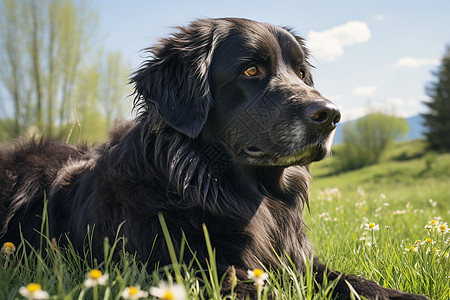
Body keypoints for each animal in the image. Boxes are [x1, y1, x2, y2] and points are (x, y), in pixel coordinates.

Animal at [0, 18, 428, 298]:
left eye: (302, 74)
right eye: (251, 70)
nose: (331, 114)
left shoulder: (299, 263)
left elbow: (356, 282)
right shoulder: (177, 268)